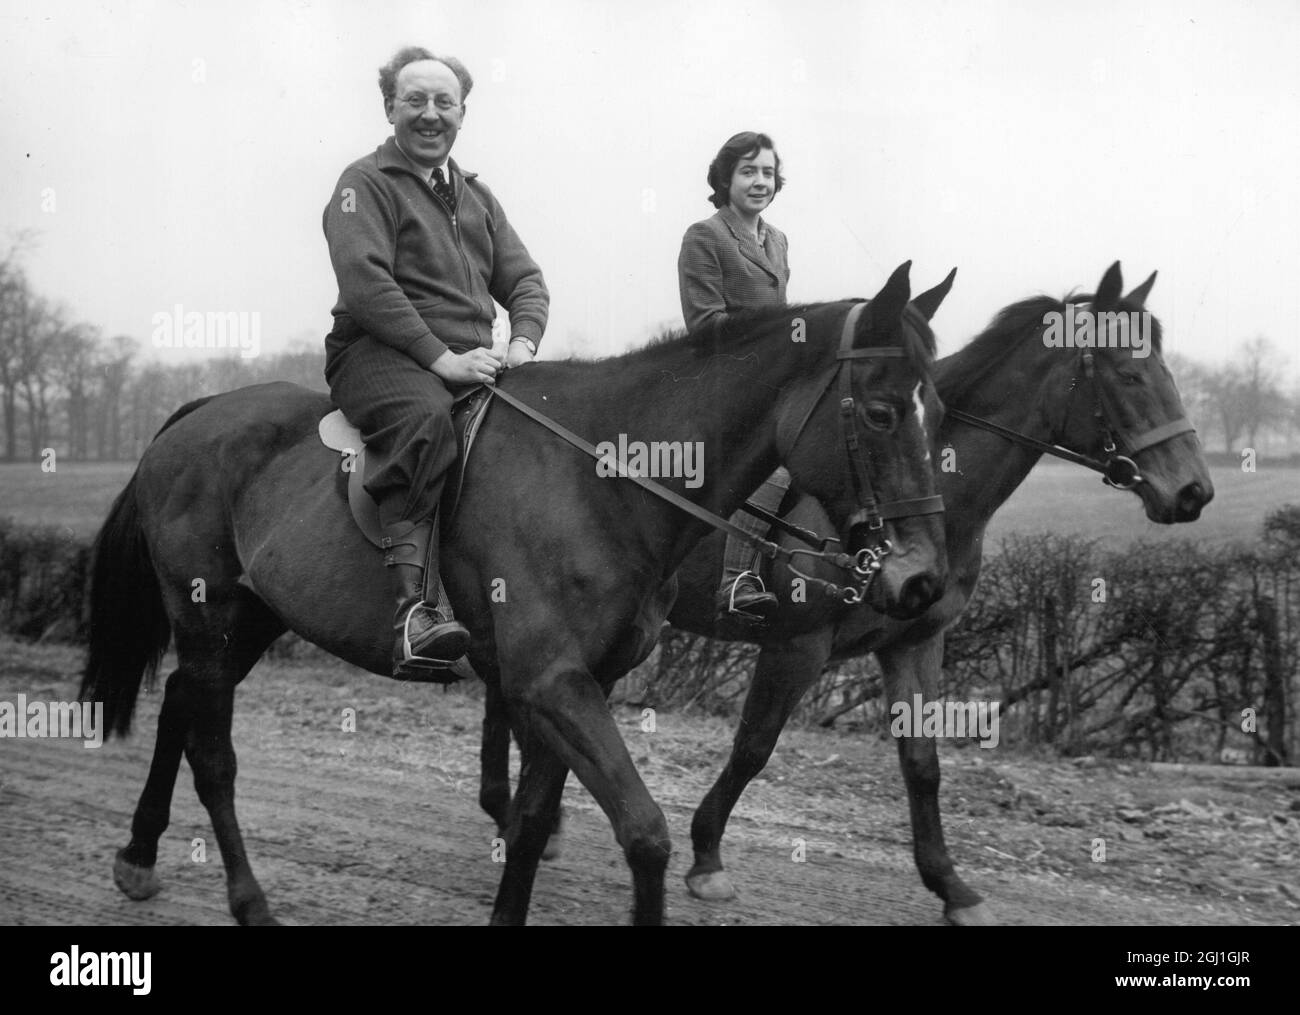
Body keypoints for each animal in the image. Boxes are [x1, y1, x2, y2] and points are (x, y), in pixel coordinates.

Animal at [81, 263, 956, 925]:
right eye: (883, 412)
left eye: (938, 410)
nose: (922, 580)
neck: (602, 477)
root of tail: (197, 415)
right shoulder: (552, 680)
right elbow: (645, 832)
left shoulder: (574, 684)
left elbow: (534, 821)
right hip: (207, 613)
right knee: (214, 756)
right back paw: (249, 898)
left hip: (252, 615)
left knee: (180, 705)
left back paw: (137, 854)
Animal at [480, 259, 1216, 920]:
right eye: (1129, 373)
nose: (1193, 491)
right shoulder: (797, 646)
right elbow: (753, 748)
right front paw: (707, 856)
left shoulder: (916, 641)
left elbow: (921, 762)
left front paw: (952, 885)